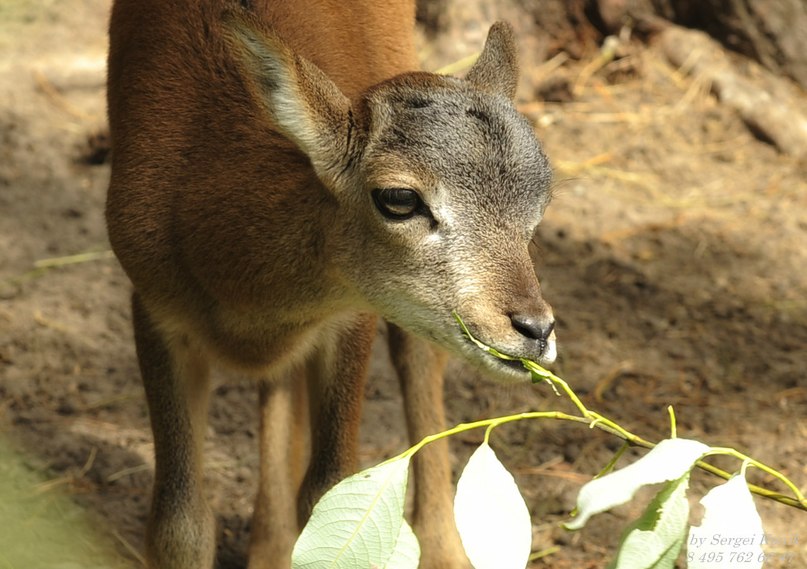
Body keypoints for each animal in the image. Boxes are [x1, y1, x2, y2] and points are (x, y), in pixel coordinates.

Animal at [107, 1, 556, 568]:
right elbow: (178, 524)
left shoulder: (350, 317)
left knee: (416, 361)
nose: (535, 328)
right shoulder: (154, 308)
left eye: (541, 202)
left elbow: (327, 490)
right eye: (399, 198)